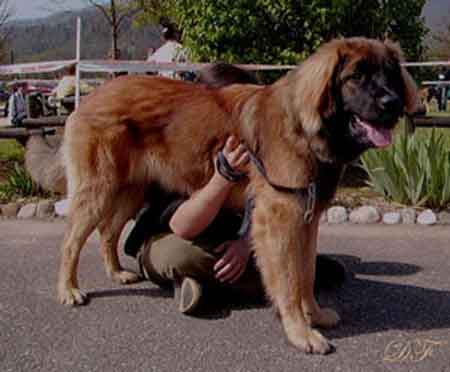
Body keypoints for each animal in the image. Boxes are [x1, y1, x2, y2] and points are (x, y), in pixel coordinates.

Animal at [58, 37, 416, 354]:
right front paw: (300, 333)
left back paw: (117, 273)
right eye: (356, 77)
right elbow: (289, 281)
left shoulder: (307, 219)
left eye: (390, 75)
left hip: (130, 190)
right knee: (72, 242)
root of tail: (91, 96)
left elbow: (307, 274)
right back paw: (69, 290)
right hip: (98, 189)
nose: (392, 104)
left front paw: (313, 315)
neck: (303, 127)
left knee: (108, 231)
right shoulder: (280, 218)